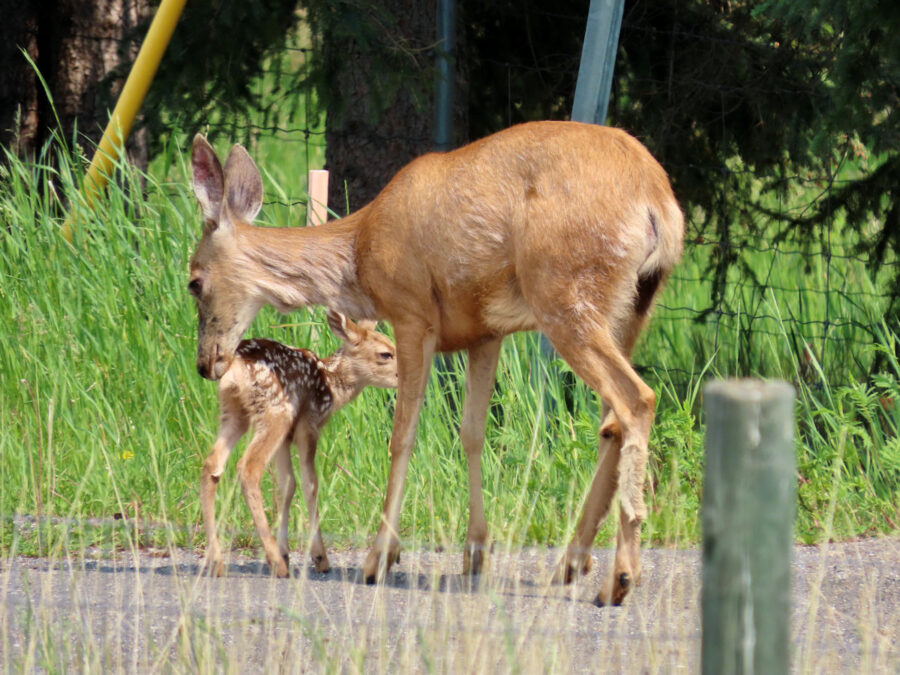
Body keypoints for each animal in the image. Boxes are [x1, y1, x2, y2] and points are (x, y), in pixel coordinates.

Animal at [197, 310, 398, 578]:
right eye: (385, 354)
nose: (404, 376)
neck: (331, 383)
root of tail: (234, 370)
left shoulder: (287, 437)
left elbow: (287, 484)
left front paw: (286, 551)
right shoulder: (308, 425)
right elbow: (310, 483)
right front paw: (318, 557)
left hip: (234, 413)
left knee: (212, 464)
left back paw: (217, 562)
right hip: (275, 413)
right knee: (248, 467)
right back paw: (275, 563)